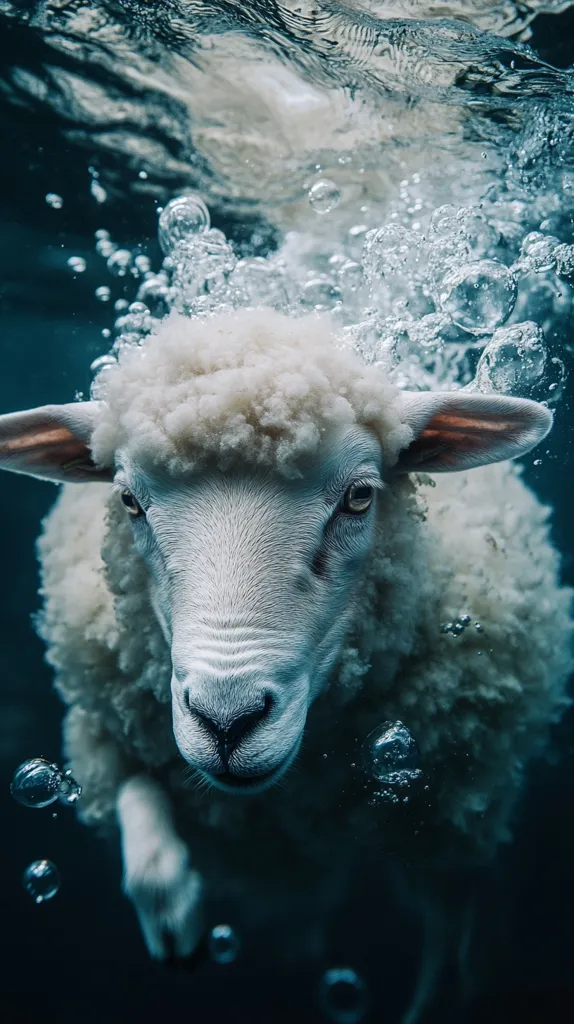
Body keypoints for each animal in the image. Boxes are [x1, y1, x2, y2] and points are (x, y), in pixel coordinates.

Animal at [0, 307, 571, 1014]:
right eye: (129, 502)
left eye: (359, 497)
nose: (226, 721)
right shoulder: (103, 725)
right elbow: (139, 812)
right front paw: (173, 914)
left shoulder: (458, 826)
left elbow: (452, 959)